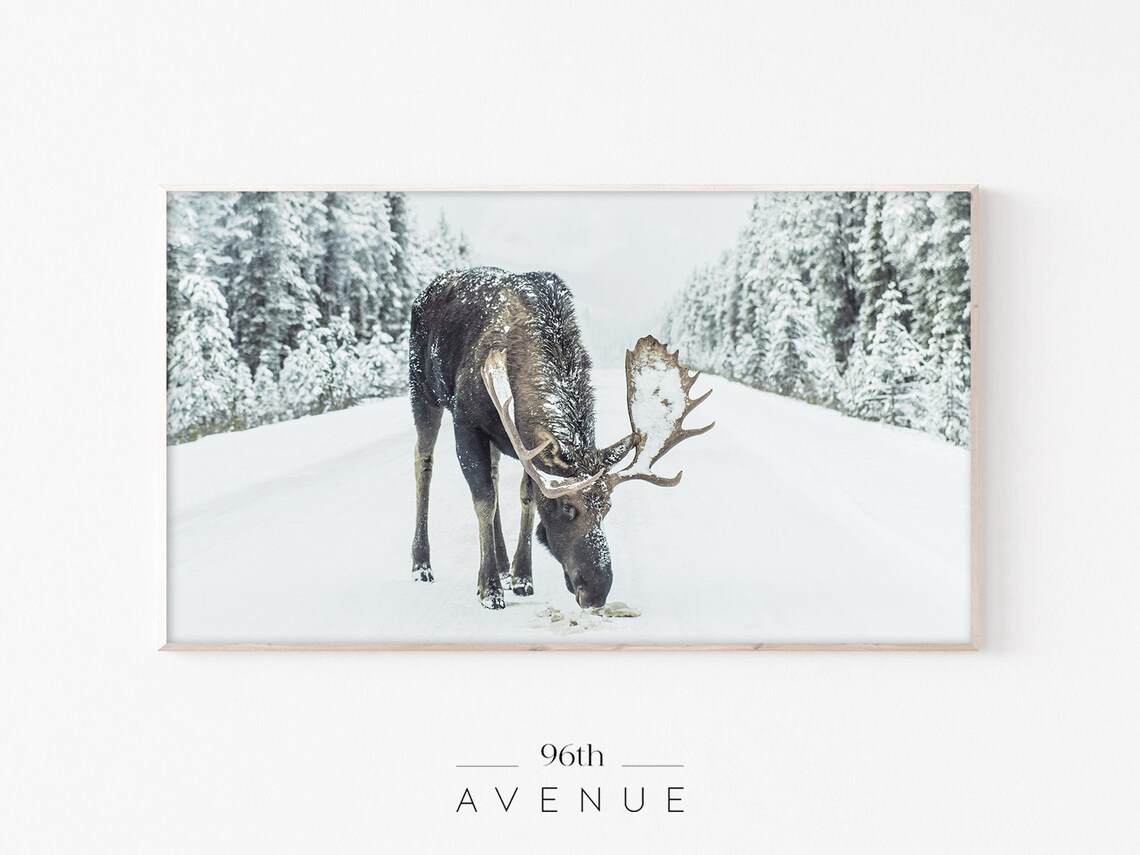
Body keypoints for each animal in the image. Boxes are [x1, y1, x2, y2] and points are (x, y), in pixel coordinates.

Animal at [408, 267, 713, 610]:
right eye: (568, 507)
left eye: (607, 507)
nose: (596, 591)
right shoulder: (466, 420)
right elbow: (483, 499)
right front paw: (489, 589)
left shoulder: (523, 443)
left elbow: (526, 497)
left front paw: (522, 576)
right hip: (422, 390)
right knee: (423, 461)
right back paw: (422, 564)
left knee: (495, 474)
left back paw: (502, 562)